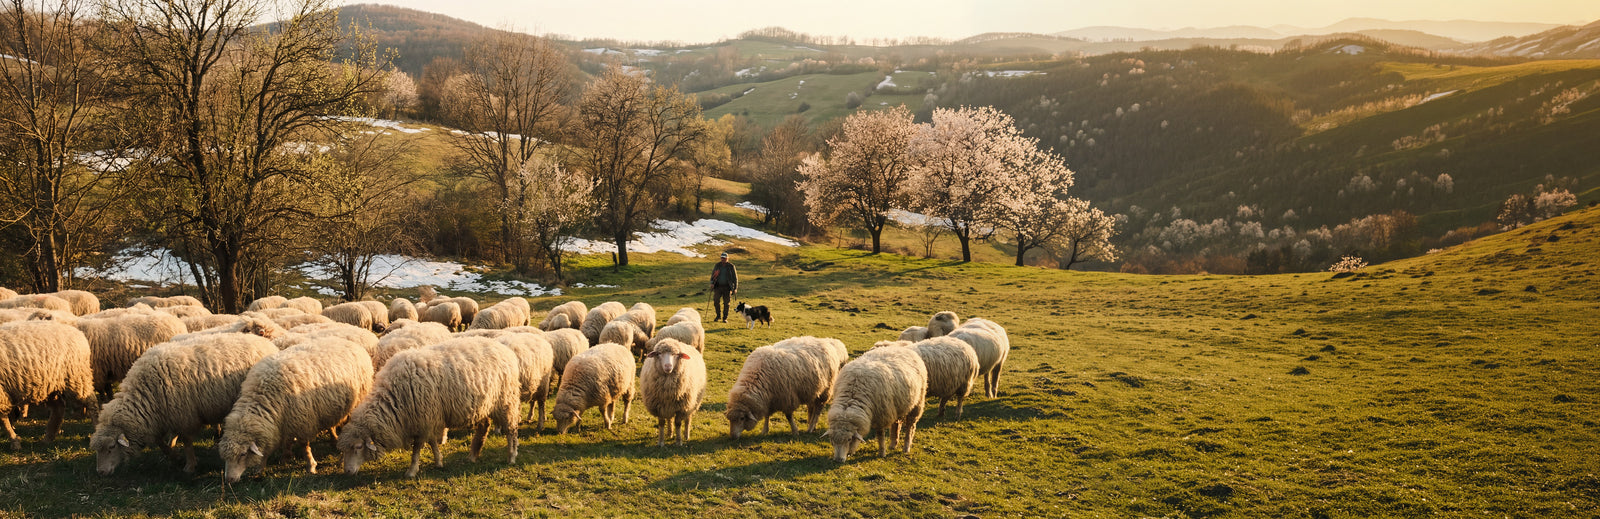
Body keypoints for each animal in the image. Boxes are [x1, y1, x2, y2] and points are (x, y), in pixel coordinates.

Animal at [0, 321, 99, 449]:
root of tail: (78, 333)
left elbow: (3, 420)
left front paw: (14, 441)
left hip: (77, 377)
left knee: (91, 402)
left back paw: (96, 428)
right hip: (50, 386)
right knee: (59, 407)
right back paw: (48, 437)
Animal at [89, 333, 279, 474]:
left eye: (111, 447)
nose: (100, 472)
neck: (145, 393)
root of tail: (265, 342)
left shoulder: (185, 416)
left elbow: (187, 442)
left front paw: (189, 465)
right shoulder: (164, 416)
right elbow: (161, 441)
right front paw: (173, 453)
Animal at [218, 337, 374, 481]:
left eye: (243, 454)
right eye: (225, 458)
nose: (229, 480)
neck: (264, 396)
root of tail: (350, 343)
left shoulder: (302, 421)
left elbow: (304, 446)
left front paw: (311, 466)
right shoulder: (281, 423)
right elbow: (275, 445)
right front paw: (274, 462)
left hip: (356, 402)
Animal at [337, 337, 520, 477]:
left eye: (358, 447)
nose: (347, 472)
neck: (394, 399)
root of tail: (504, 349)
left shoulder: (424, 419)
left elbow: (417, 448)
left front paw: (412, 471)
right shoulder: (430, 418)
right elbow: (432, 442)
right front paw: (439, 461)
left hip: (506, 400)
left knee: (511, 430)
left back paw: (512, 457)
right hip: (484, 404)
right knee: (484, 426)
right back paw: (473, 455)